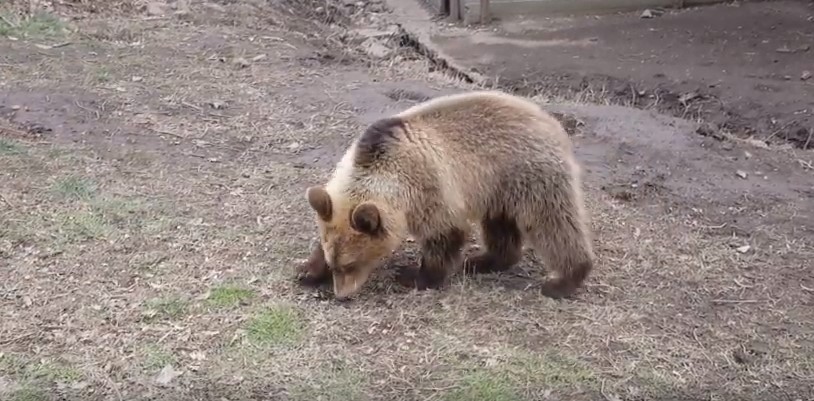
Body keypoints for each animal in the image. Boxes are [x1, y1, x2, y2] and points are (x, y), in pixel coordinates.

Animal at [296, 89, 596, 298]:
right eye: (336, 263)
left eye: (351, 264)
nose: (341, 294)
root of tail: (551, 120)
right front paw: (307, 270)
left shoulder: (429, 187)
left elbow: (443, 235)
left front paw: (415, 276)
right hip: (498, 187)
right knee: (500, 225)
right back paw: (484, 260)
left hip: (531, 175)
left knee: (553, 223)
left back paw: (564, 280)